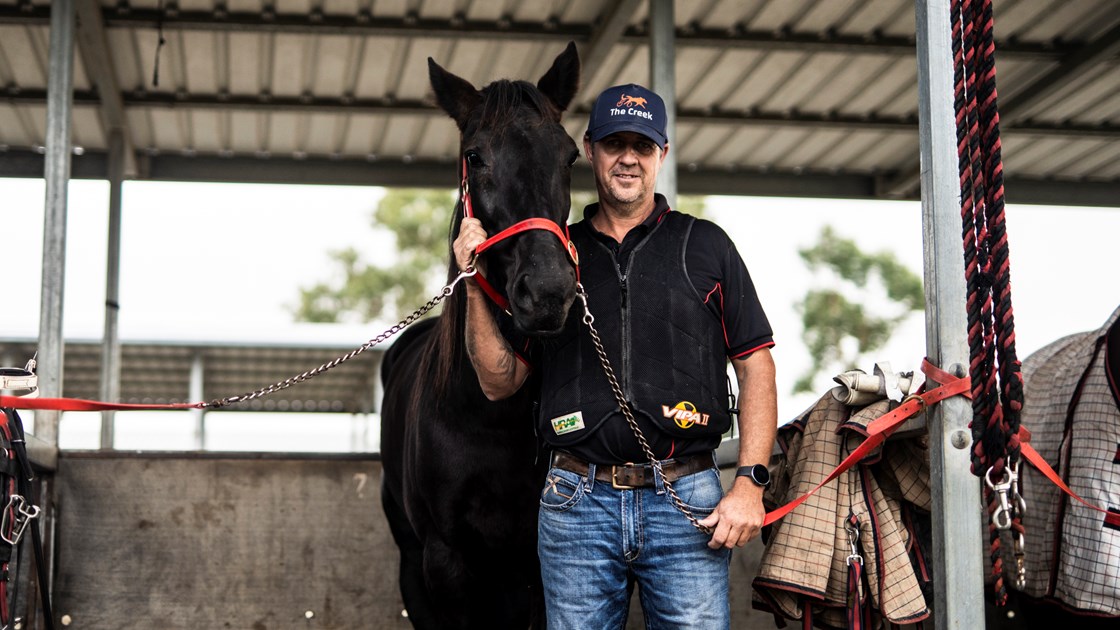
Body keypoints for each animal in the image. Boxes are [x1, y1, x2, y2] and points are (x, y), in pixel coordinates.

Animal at [380, 45, 582, 627]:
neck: (489, 415)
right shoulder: (444, 559)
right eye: (475, 156)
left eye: (570, 156)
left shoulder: (538, 561)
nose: (548, 291)